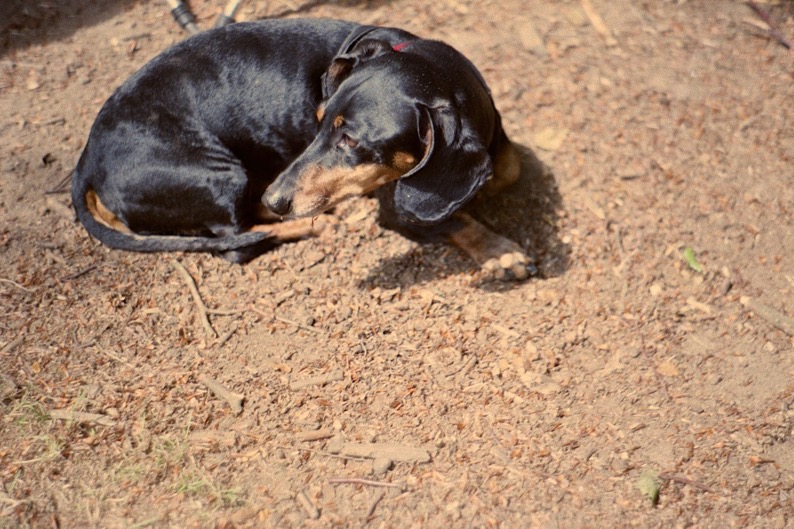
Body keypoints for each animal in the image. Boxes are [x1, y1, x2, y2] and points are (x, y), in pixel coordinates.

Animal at [72, 18, 532, 278]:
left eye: (350, 140)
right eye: (319, 119)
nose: (276, 198)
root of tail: (88, 159)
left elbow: (511, 167)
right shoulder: (401, 211)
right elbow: (456, 220)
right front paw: (501, 253)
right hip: (222, 174)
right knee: (236, 239)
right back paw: (312, 224)